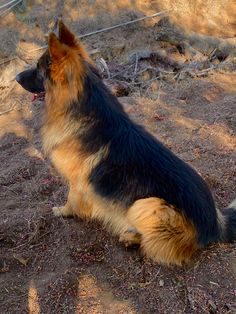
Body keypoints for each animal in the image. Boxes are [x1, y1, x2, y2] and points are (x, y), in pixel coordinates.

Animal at [15, 20, 235, 264]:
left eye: (38, 69)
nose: (15, 78)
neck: (82, 108)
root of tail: (216, 224)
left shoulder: (77, 182)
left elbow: (71, 200)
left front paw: (63, 212)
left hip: (146, 204)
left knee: (160, 245)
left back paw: (131, 238)